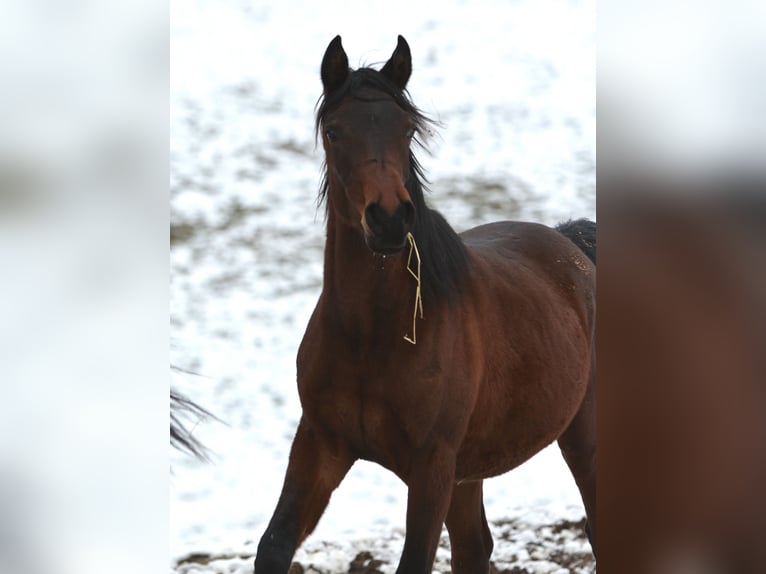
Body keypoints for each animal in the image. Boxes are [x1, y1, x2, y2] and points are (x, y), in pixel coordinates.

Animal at [255, 36, 596, 574]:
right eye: (334, 131)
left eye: (408, 128)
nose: (389, 219)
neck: (372, 335)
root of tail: (573, 243)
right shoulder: (319, 444)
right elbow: (273, 545)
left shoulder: (432, 466)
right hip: (469, 470)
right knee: (475, 547)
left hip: (582, 436)